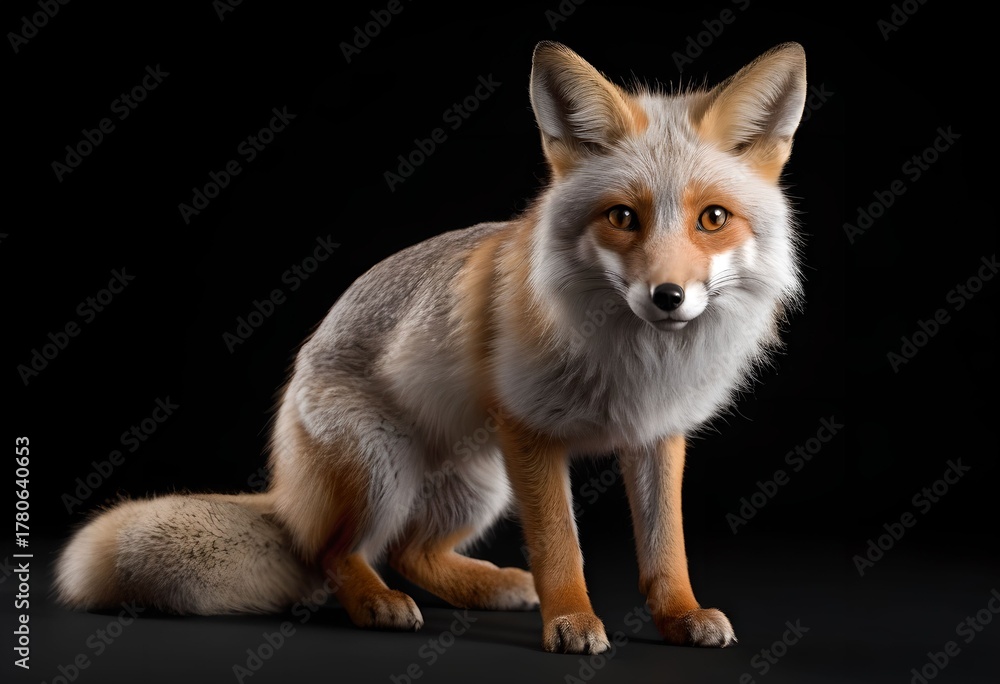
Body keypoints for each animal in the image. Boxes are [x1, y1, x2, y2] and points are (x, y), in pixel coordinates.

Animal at [55, 41, 807, 654]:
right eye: (623, 217)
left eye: (712, 219)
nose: (668, 297)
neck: (636, 363)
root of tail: (285, 490)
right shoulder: (530, 433)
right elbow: (561, 549)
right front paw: (570, 621)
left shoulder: (655, 435)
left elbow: (665, 548)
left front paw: (679, 617)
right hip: (385, 468)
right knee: (336, 554)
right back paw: (376, 603)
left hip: (477, 485)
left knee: (410, 553)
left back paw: (487, 585)